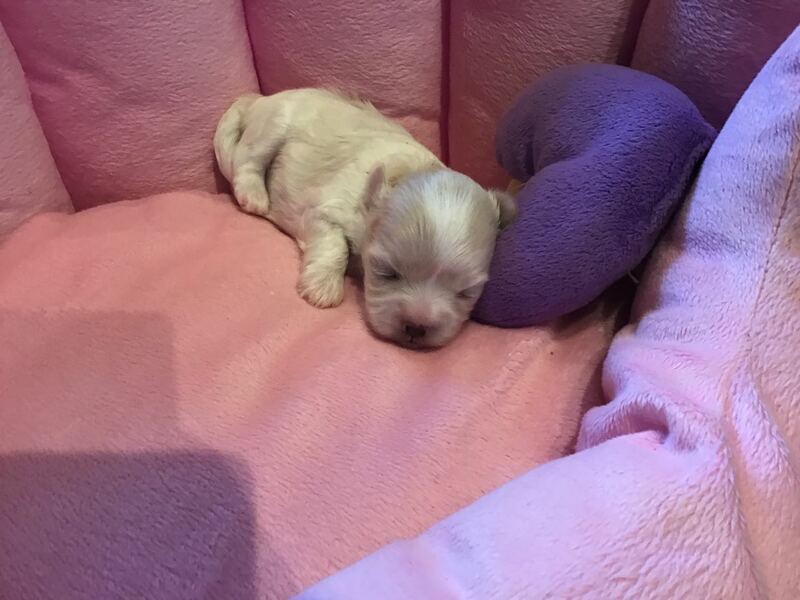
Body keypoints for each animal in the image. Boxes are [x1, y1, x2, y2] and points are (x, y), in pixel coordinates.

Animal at [214, 88, 515, 348]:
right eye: (387, 273)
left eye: (466, 292)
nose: (416, 328)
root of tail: (259, 99)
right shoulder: (326, 211)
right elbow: (336, 246)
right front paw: (323, 289)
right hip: (275, 124)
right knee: (247, 158)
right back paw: (254, 194)